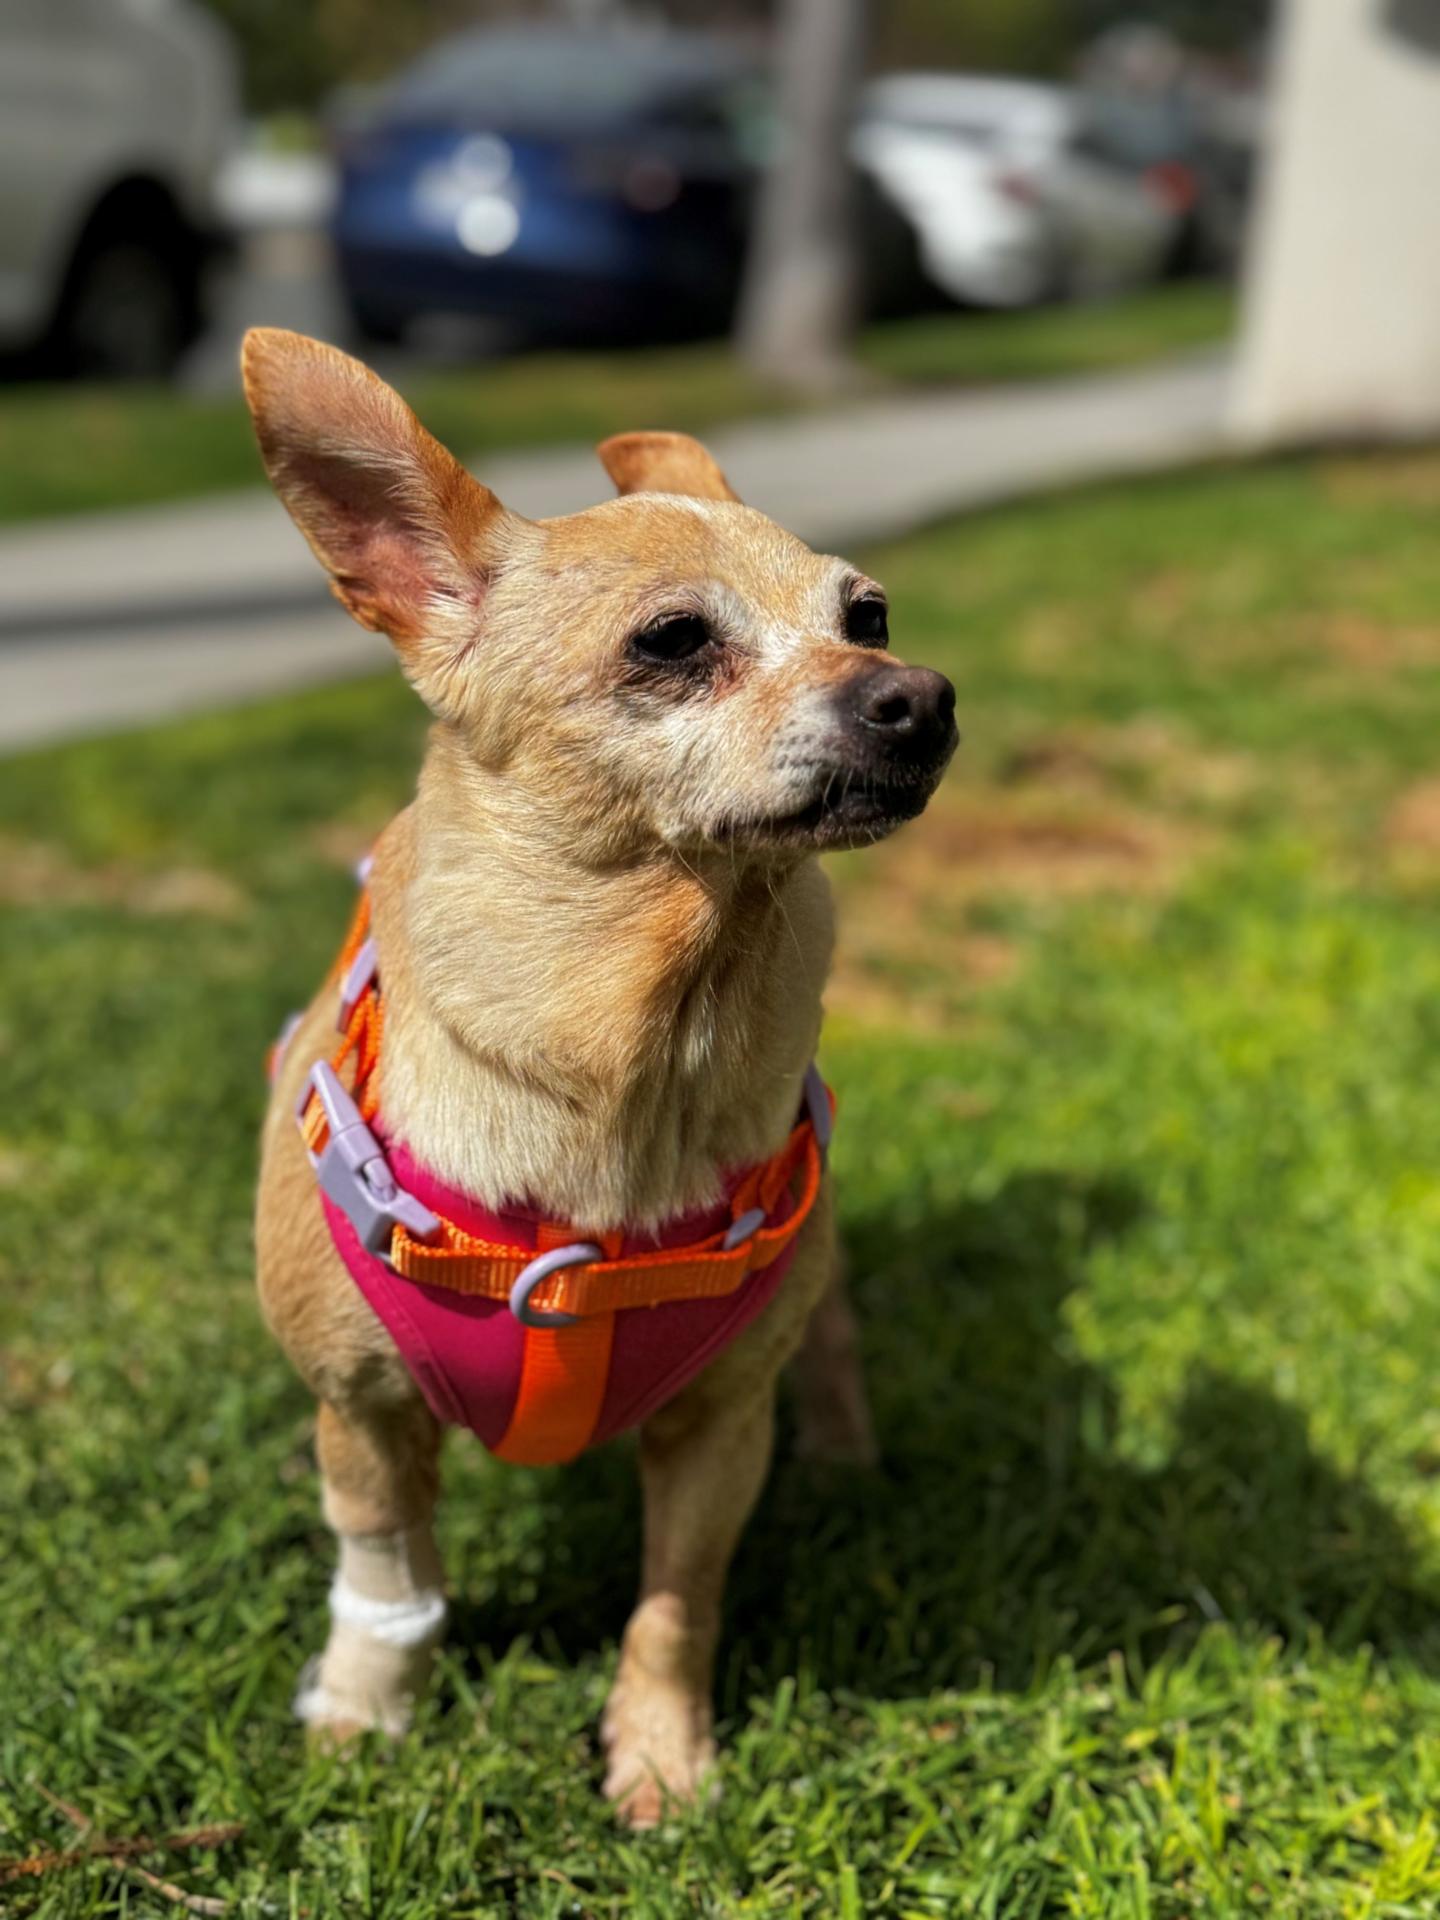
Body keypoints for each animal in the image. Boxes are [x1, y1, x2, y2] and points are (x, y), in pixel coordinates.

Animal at [247, 322, 960, 1820]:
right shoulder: (363, 1418)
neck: (640, 1053)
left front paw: (662, 1757)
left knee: (832, 1338)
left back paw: (849, 1457)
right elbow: (386, 1572)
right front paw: (365, 1709)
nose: (923, 695)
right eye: (674, 642)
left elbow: (676, 1601)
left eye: (866, 617)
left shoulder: (718, 1432)